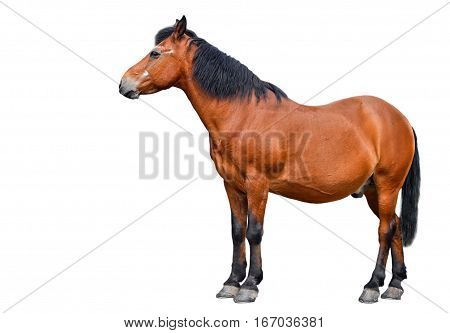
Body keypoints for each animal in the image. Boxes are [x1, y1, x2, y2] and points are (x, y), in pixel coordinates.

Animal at [118, 16, 418, 304]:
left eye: (155, 53)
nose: (123, 84)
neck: (243, 115)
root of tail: (400, 118)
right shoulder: (232, 185)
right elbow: (237, 230)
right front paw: (231, 283)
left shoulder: (258, 185)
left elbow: (254, 232)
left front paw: (250, 285)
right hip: (373, 191)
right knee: (395, 227)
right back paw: (395, 285)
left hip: (387, 186)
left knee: (384, 230)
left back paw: (372, 286)